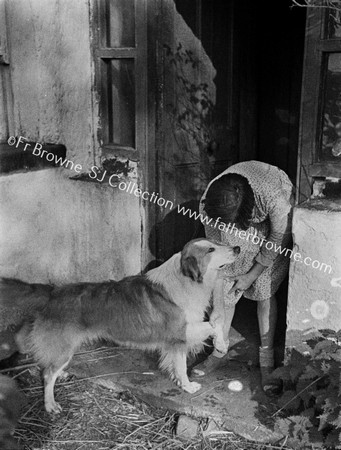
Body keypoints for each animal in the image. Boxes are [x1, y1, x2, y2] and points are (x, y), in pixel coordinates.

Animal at [11, 241, 239, 414]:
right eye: (210, 250)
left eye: (215, 243)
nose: (237, 247)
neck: (184, 280)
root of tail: (53, 292)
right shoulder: (178, 336)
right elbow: (184, 365)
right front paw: (188, 386)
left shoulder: (184, 332)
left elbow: (215, 324)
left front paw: (221, 345)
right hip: (63, 348)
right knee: (47, 374)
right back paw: (50, 404)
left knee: (50, 367)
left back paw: (62, 375)